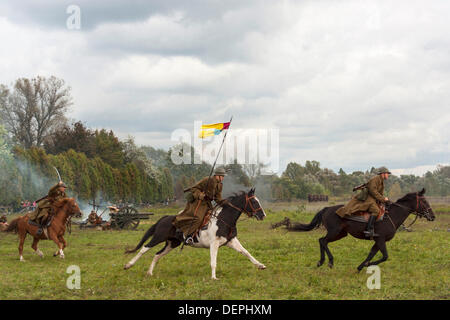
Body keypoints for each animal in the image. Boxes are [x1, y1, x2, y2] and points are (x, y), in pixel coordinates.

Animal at [124, 189, 268, 278]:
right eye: (254, 201)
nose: (263, 215)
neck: (223, 219)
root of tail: (164, 218)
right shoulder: (214, 243)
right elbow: (213, 261)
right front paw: (214, 277)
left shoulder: (231, 241)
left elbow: (246, 252)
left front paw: (260, 265)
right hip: (158, 237)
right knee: (144, 249)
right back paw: (128, 265)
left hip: (171, 244)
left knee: (157, 255)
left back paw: (149, 273)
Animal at [272, 189, 434, 272]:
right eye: (424, 201)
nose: (432, 216)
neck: (391, 216)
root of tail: (326, 208)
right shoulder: (381, 240)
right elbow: (385, 257)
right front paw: (367, 265)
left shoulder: (377, 241)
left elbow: (371, 254)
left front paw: (361, 266)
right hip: (334, 232)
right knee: (323, 240)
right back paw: (328, 262)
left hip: (341, 234)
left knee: (322, 241)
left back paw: (322, 262)